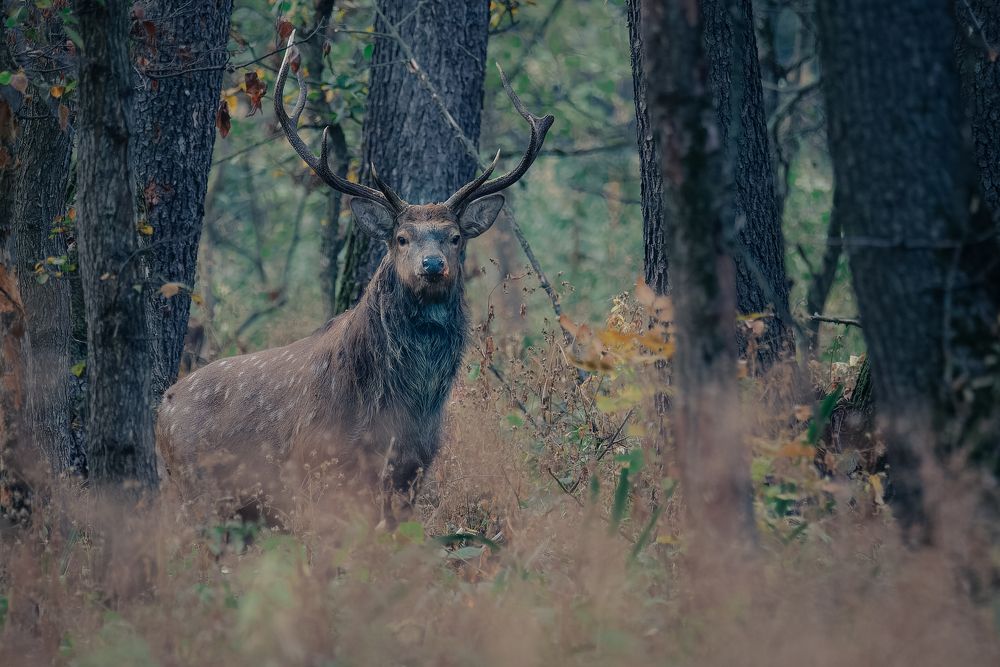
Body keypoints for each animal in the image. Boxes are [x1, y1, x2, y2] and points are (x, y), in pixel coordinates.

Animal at [156, 33, 553, 528]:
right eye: (401, 238)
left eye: (456, 236)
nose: (432, 265)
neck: (402, 409)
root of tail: (161, 409)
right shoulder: (317, 465)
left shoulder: (412, 471)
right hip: (195, 491)